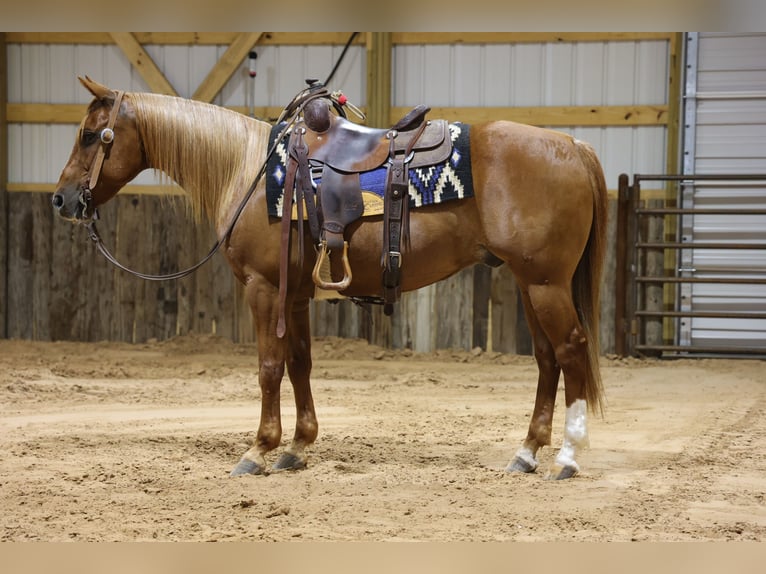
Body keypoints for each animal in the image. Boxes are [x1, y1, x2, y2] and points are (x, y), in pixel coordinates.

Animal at [53, 76, 608, 480]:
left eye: (89, 135)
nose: (61, 200)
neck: (249, 169)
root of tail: (572, 144)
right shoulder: (295, 295)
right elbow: (300, 363)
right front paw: (297, 447)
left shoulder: (264, 289)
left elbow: (269, 368)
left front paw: (258, 450)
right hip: (528, 283)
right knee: (547, 360)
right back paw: (527, 452)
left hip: (545, 284)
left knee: (572, 349)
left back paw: (567, 457)